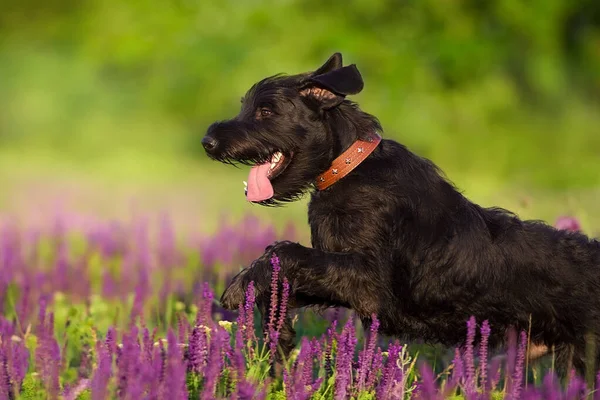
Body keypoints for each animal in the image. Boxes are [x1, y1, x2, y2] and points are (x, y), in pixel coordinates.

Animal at [203, 53, 600, 378]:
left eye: (266, 111)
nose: (208, 142)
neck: (348, 169)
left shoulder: (368, 284)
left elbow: (285, 252)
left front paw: (239, 287)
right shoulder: (339, 277)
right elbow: (285, 276)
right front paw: (278, 335)